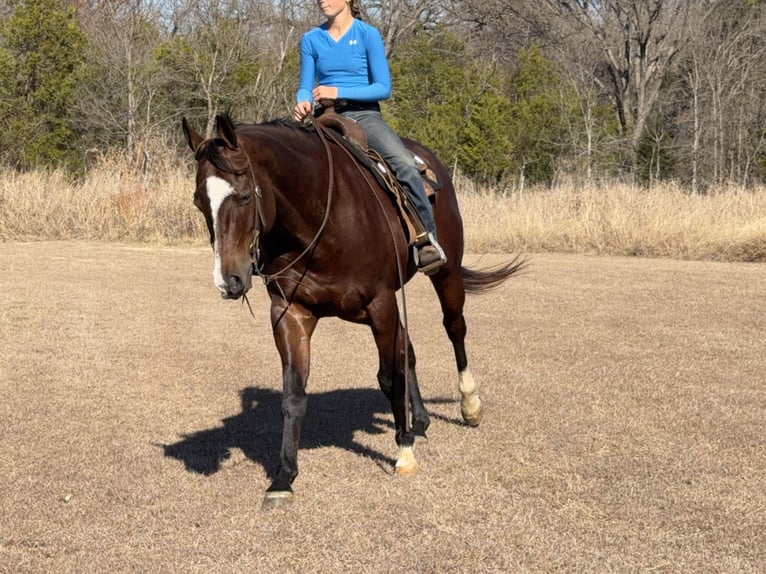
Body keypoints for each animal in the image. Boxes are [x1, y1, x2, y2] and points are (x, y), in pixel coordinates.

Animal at [182, 112, 524, 507]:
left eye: (244, 195)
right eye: (198, 201)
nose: (229, 281)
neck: (321, 220)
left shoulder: (380, 304)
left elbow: (389, 377)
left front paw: (404, 453)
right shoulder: (291, 313)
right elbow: (293, 395)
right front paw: (284, 476)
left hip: (447, 272)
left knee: (454, 328)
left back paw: (469, 406)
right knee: (408, 350)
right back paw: (420, 420)